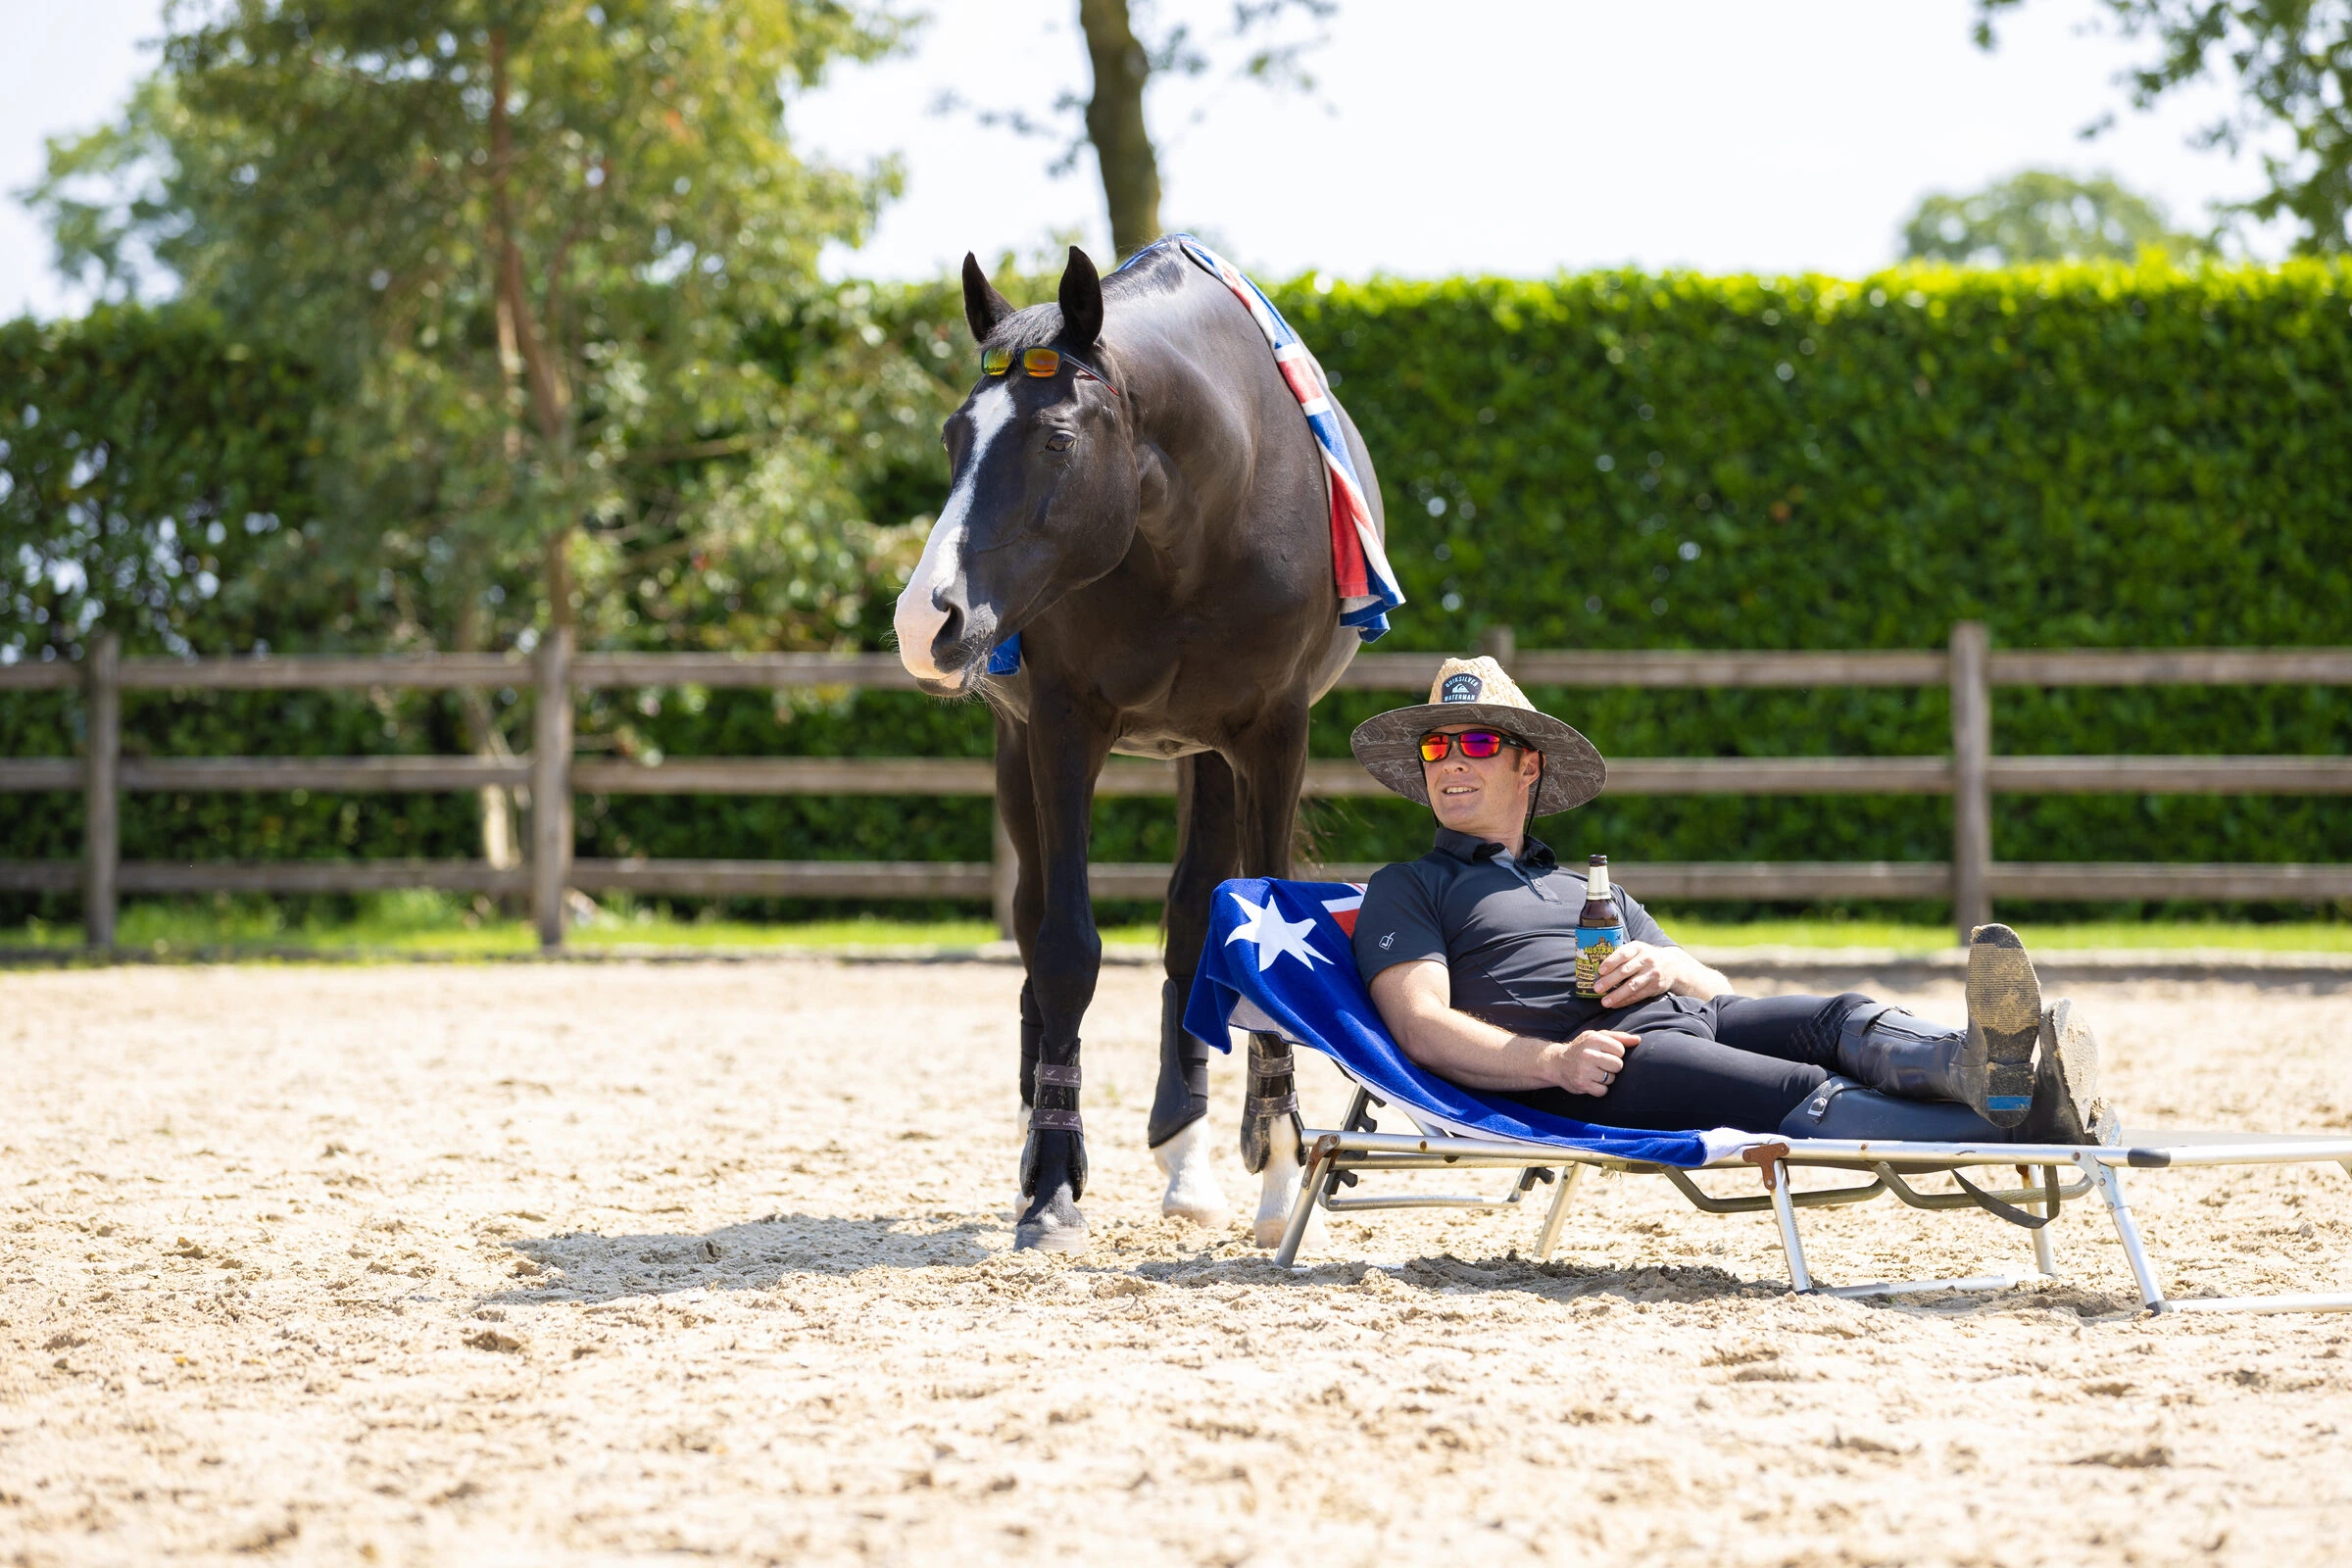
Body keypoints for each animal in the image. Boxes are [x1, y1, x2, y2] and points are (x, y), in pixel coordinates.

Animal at [893, 241, 1386, 1251]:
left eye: (1056, 440)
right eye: (955, 437)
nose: (926, 620)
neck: (1197, 519)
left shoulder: (1272, 733)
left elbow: (1252, 930)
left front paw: (1280, 1170)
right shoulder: (1061, 727)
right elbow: (1065, 948)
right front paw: (1050, 1183)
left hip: (1207, 755)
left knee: (1192, 920)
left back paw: (1191, 1160)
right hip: (1020, 752)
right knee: (1033, 922)